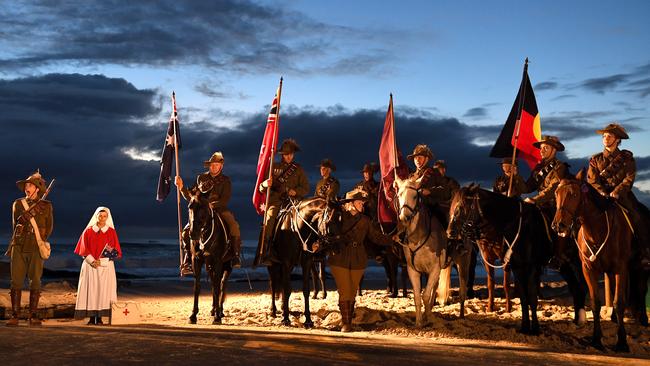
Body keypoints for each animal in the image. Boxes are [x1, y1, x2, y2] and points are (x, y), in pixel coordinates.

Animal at [185, 189, 230, 324]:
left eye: (203, 207)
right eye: (190, 206)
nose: (193, 233)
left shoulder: (218, 262)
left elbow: (217, 287)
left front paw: (217, 318)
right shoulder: (197, 260)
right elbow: (197, 287)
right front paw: (193, 315)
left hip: (227, 266)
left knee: (221, 284)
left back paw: (219, 311)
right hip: (209, 266)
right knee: (214, 284)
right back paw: (214, 309)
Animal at [268, 196, 342, 328]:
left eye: (341, 221)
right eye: (329, 221)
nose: (338, 247)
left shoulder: (306, 262)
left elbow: (306, 290)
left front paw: (308, 320)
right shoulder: (286, 263)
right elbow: (287, 289)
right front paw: (286, 319)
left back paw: (282, 307)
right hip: (273, 265)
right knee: (273, 283)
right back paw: (273, 310)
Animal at [448, 186, 584, 334]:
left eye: (461, 207)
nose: (449, 232)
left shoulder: (530, 267)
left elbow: (530, 296)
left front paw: (535, 328)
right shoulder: (516, 266)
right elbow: (523, 298)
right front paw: (524, 327)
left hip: (576, 264)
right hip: (565, 266)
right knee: (575, 288)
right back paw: (576, 320)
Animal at [548, 170, 632, 350]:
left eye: (573, 194)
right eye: (556, 193)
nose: (558, 225)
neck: (598, 232)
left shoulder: (620, 269)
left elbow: (619, 302)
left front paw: (622, 342)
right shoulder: (588, 269)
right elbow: (595, 303)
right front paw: (596, 339)